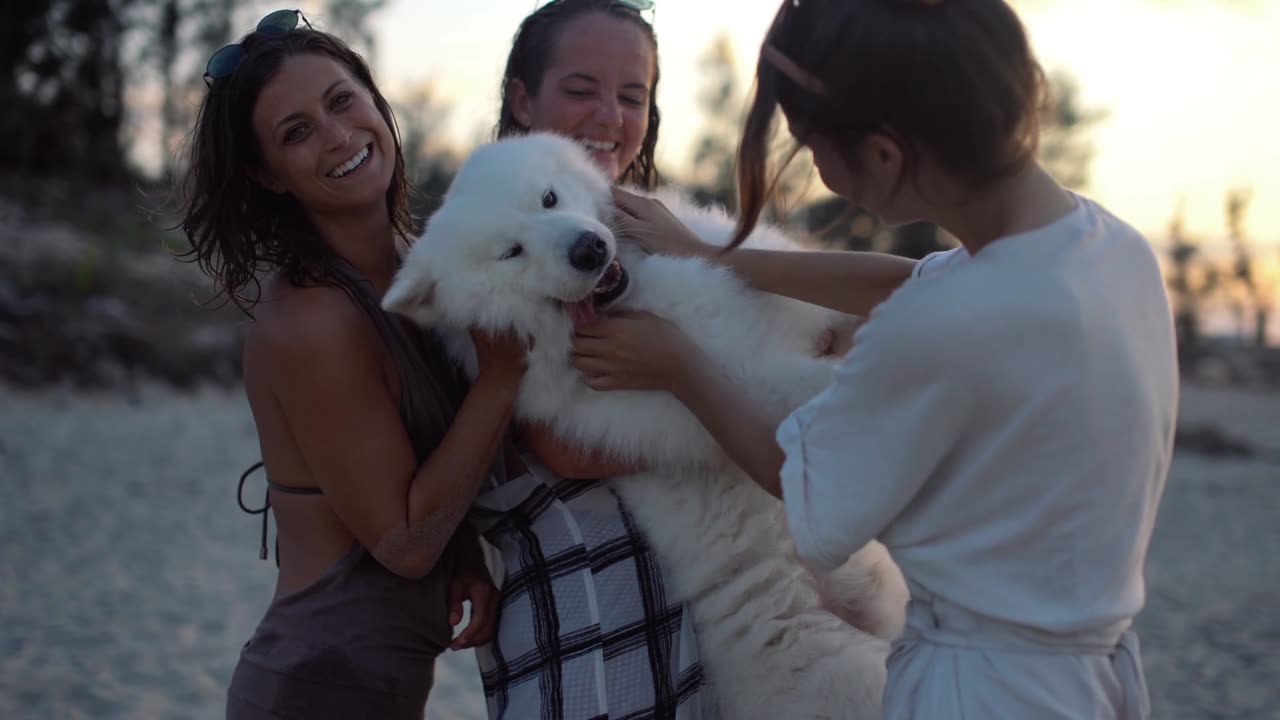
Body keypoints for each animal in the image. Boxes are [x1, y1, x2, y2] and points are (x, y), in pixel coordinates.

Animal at [384, 131, 906, 712]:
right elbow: (815, 389)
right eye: (511, 252)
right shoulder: (738, 386)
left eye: (548, 198)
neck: (644, 300)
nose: (589, 248)